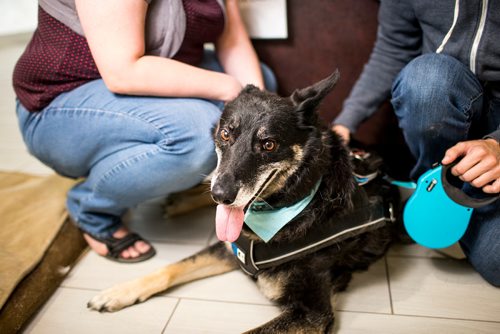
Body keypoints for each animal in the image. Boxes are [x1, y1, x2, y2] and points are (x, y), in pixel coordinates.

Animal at [87, 72, 398, 332]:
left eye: (268, 144)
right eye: (226, 134)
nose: (221, 195)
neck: (297, 204)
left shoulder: (311, 313)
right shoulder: (229, 248)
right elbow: (171, 267)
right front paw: (119, 291)